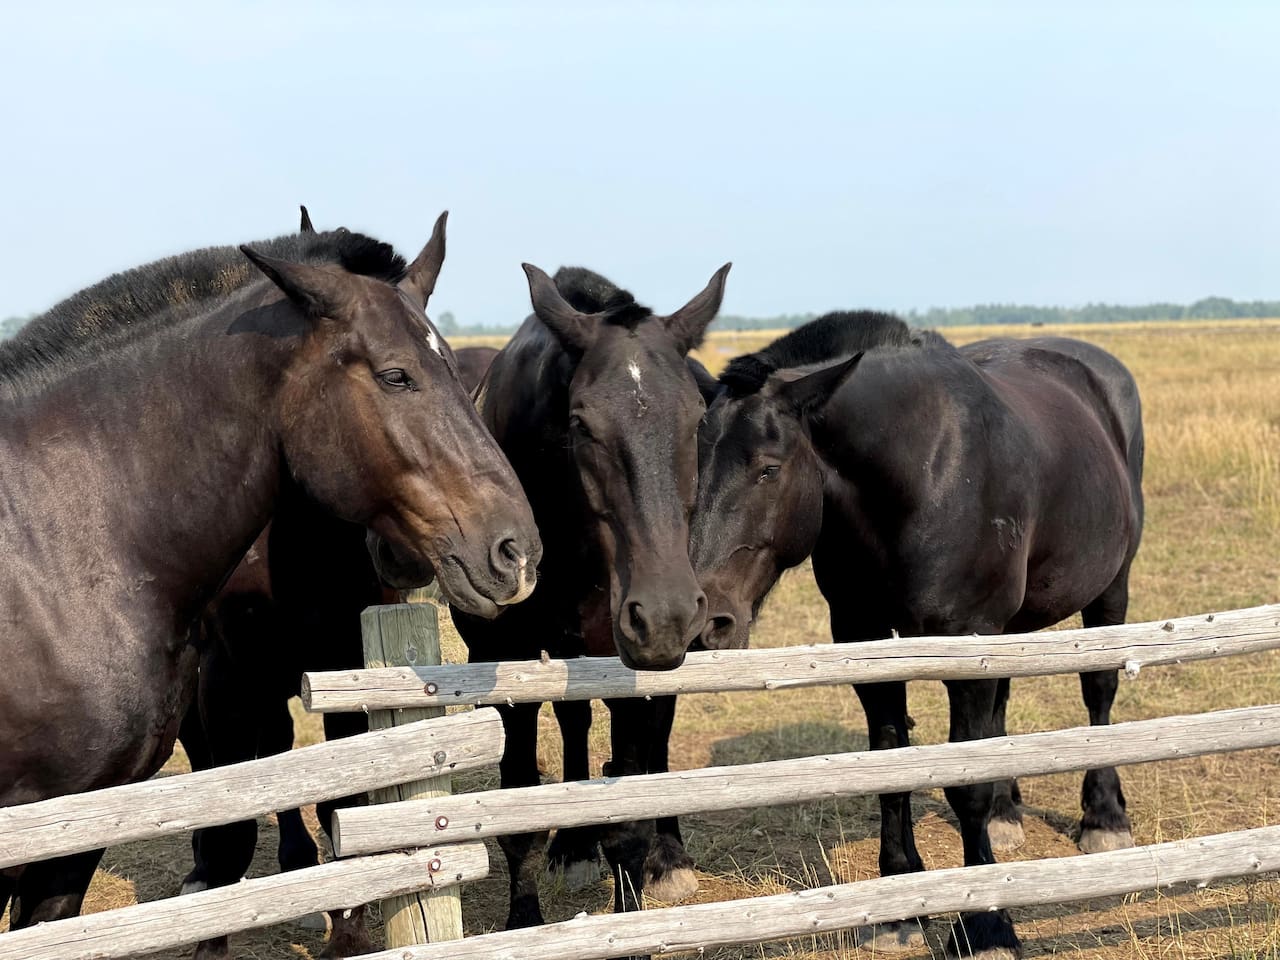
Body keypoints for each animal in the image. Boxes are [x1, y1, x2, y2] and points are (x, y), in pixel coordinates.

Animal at [452, 262, 730, 932]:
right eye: (580, 423)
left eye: (697, 420)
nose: (664, 614)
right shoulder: (504, 663)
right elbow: (519, 804)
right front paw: (524, 919)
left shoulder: (627, 661)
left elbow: (628, 808)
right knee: (573, 724)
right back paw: (573, 846)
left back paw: (668, 856)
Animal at [689, 312, 1143, 958]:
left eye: (768, 468)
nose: (706, 622)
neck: (925, 475)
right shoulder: (865, 639)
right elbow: (893, 762)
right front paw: (899, 904)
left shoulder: (966, 642)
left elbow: (964, 785)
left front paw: (987, 925)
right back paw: (1008, 816)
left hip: (1111, 589)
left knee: (1099, 693)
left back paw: (1104, 820)